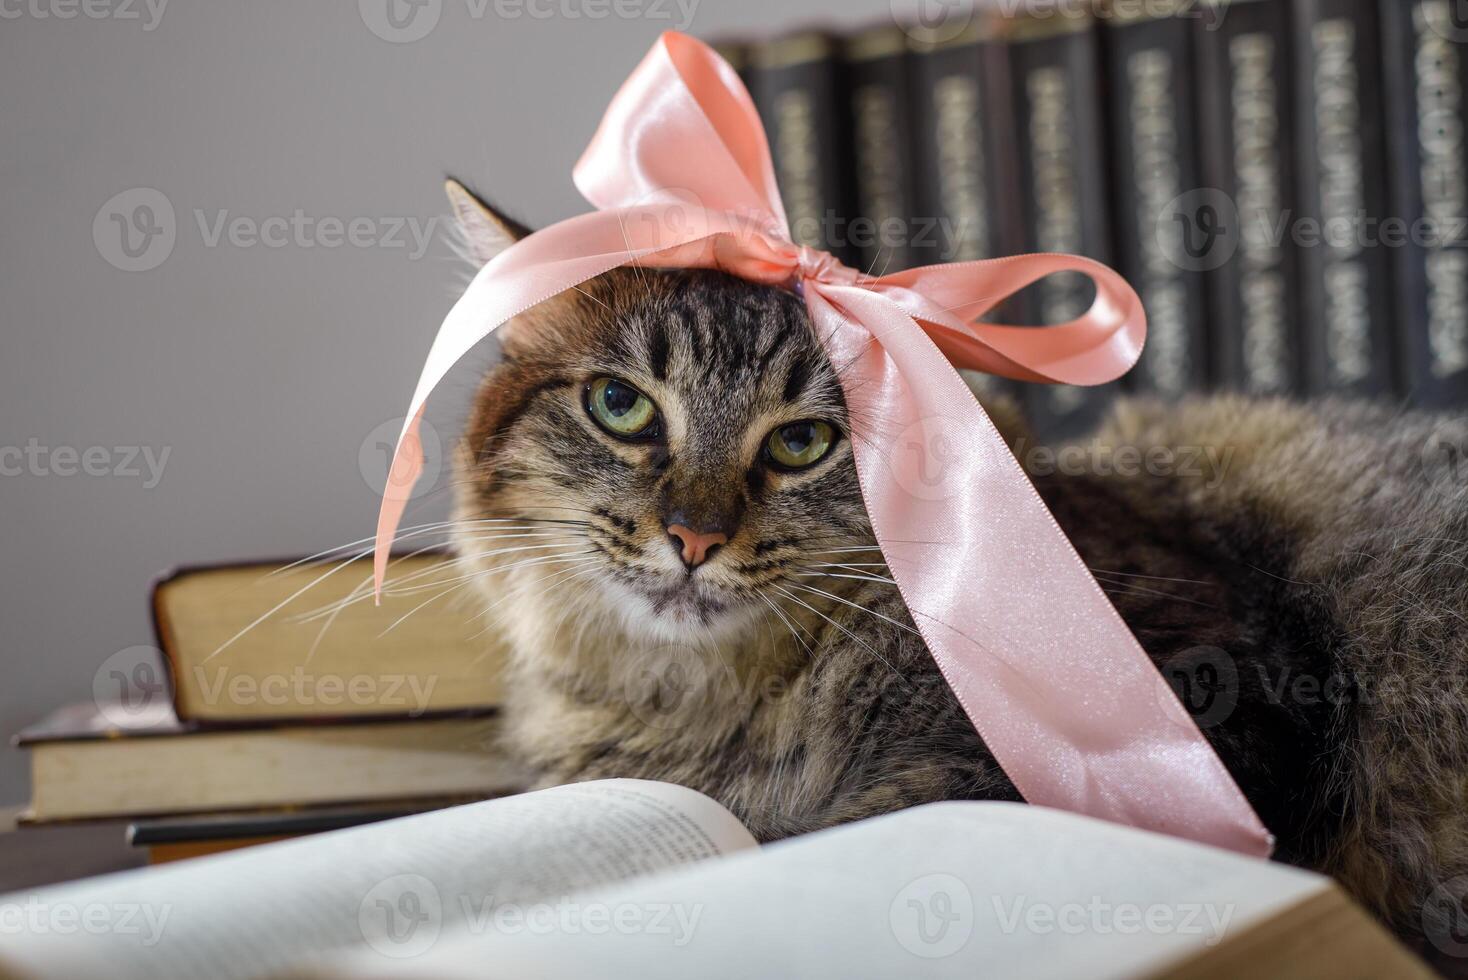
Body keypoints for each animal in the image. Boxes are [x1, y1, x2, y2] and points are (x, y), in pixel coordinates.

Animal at [434, 179, 1468, 962]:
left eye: (802, 444)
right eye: (621, 406)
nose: (693, 538)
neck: (707, 711)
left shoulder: (1218, 707)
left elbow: (856, 822)